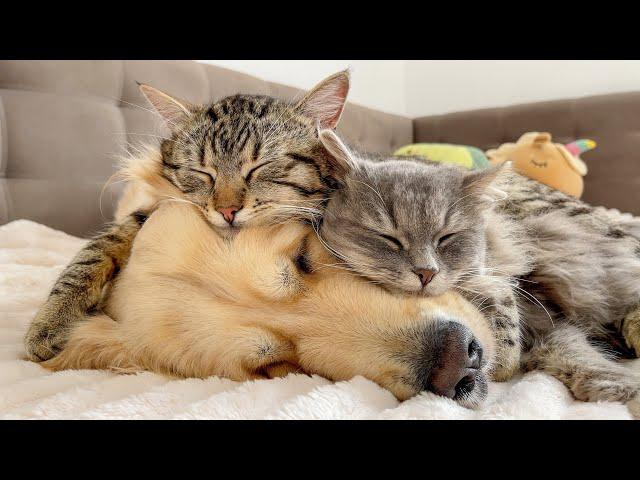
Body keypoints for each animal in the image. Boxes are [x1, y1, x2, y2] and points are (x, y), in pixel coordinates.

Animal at [25, 70, 350, 360]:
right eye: (202, 172)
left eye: (260, 167)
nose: (227, 210)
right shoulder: (153, 209)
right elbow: (92, 253)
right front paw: (50, 321)